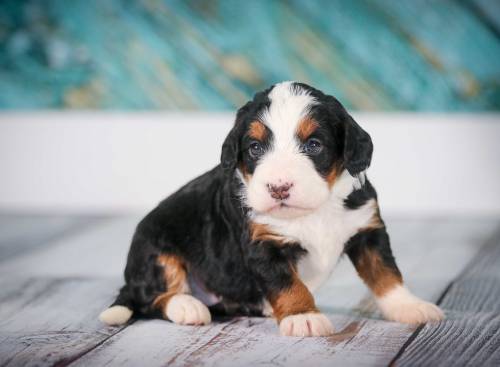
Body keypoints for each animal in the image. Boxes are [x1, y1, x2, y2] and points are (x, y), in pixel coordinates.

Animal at [99, 81, 444, 336]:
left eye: (314, 145)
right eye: (254, 148)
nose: (279, 187)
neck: (313, 210)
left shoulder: (367, 230)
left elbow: (386, 273)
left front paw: (409, 307)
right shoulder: (263, 244)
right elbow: (288, 283)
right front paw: (303, 317)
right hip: (156, 251)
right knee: (150, 298)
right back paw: (187, 306)